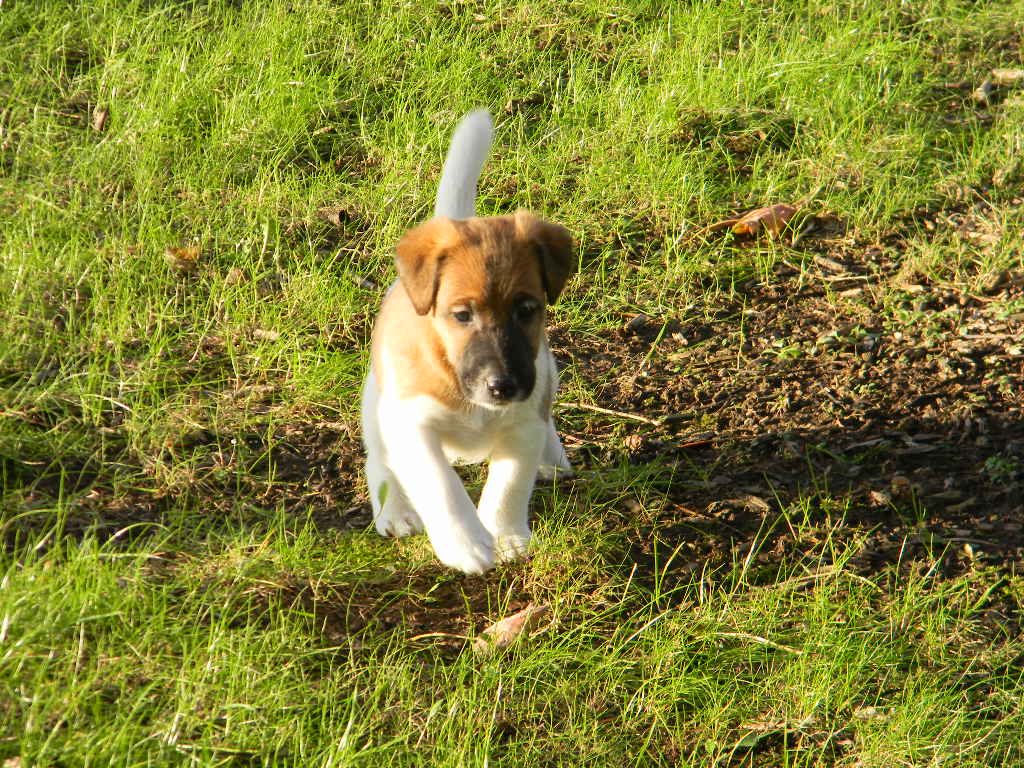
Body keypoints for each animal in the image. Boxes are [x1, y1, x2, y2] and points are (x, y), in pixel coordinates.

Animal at [360, 111, 573, 573]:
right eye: (461, 315)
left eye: (527, 309)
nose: (503, 386)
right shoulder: (412, 425)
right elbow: (440, 482)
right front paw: (466, 542)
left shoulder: (524, 422)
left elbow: (509, 483)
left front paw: (505, 534)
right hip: (375, 407)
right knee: (380, 461)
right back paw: (395, 510)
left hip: (547, 377)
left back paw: (552, 456)